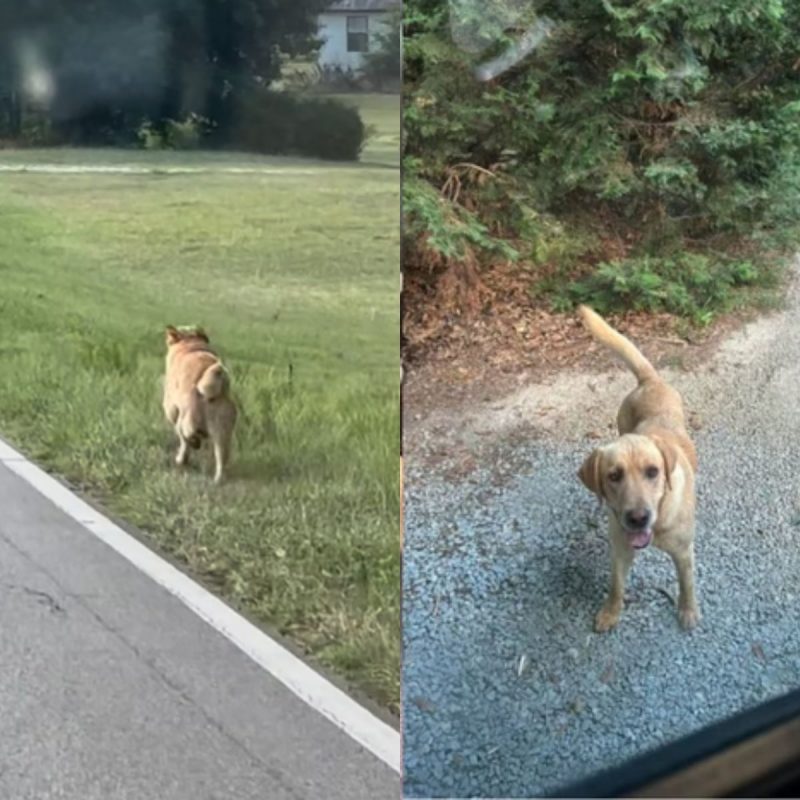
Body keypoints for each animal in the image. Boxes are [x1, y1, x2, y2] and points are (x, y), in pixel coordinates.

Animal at [162, 324, 238, 484]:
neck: (190, 344)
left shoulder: (170, 407)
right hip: (223, 432)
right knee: (221, 458)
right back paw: (218, 480)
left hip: (185, 421)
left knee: (186, 438)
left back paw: (184, 456)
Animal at [576, 304, 700, 632]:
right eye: (613, 476)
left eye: (653, 472)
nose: (637, 517)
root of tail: (649, 380)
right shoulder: (619, 549)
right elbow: (616, 585)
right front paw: (611, 612)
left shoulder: (684, 553)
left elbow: (687, 584)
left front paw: (688, 610)